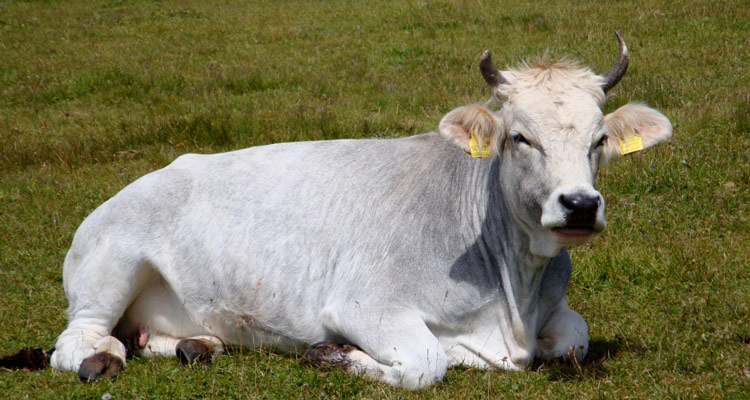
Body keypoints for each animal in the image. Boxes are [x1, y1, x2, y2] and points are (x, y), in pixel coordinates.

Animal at [1, 32, 676, 390]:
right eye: (519, 137)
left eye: (599, 140)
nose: (580, 205)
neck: (513, 287)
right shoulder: (363, 304)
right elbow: (426, 362)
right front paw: (338, 355)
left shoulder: (555, 314)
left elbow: (572, 339)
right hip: (108, 266)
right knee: (77, 340)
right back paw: (101, 358)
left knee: (152, 336)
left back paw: (196, 346)